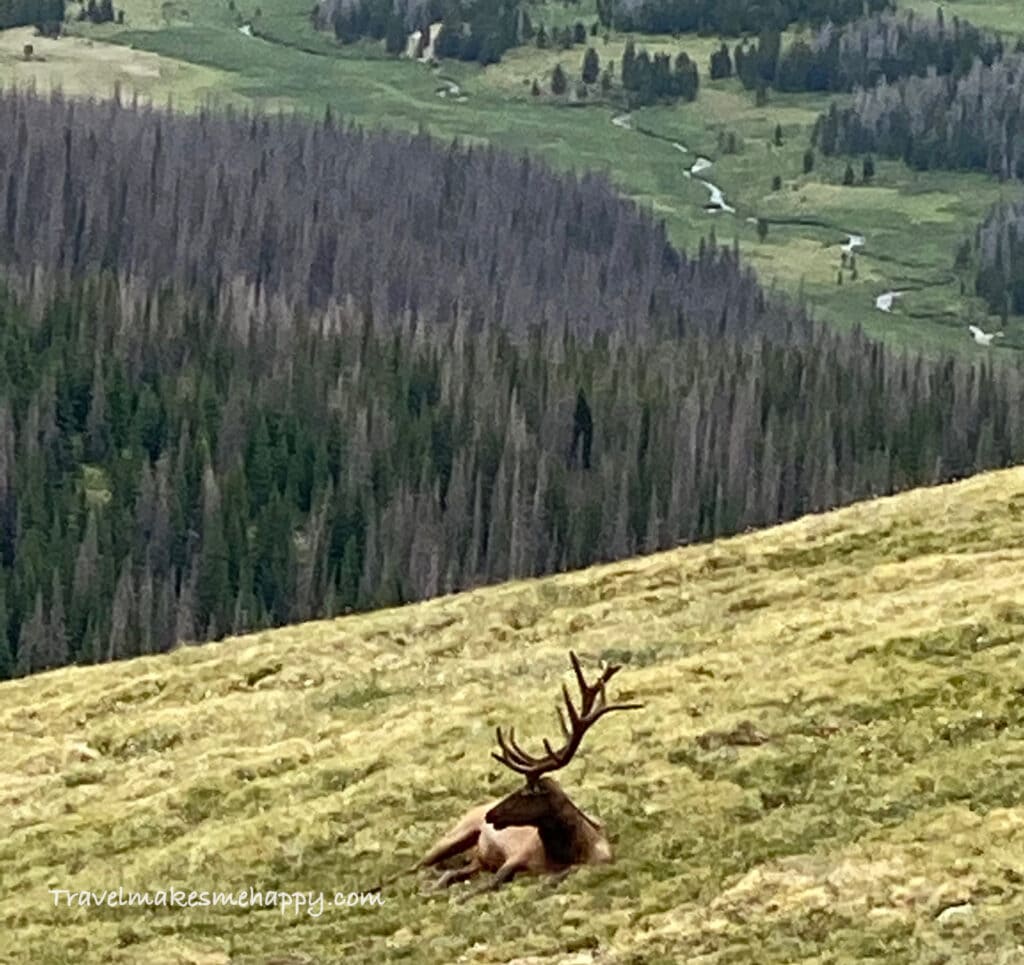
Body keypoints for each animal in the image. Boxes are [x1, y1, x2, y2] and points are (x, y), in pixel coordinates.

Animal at [380, 651, 643, 893]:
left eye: (526, 792)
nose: (490, 815)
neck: (569, 852)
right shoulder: (517, 856)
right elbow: (492, 882)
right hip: (455, 835)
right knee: (415, 866)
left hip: (477, 859)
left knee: (452, 872)